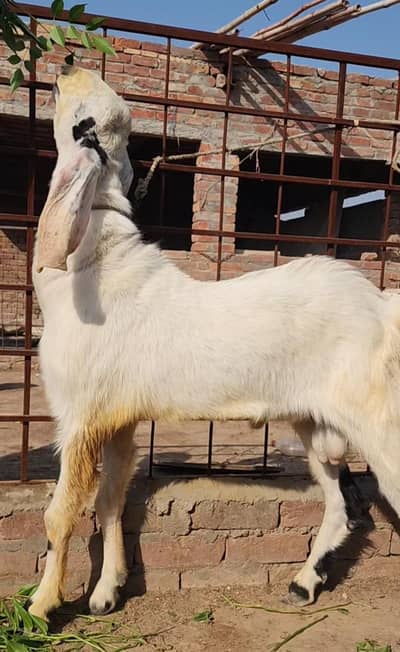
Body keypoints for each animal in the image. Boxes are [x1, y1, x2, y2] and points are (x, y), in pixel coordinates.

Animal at [29, 66, 400, 620]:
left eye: (84, 121)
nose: (69, 65)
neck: (93, 267)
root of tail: (382, 307)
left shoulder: (80, 416)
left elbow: (60, 513)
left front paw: (41, 606)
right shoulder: (117, 417)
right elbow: (111, 499)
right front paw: (106, 593)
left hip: (379, 420)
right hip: (315, 422)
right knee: (342, 504)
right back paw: (303, 583)